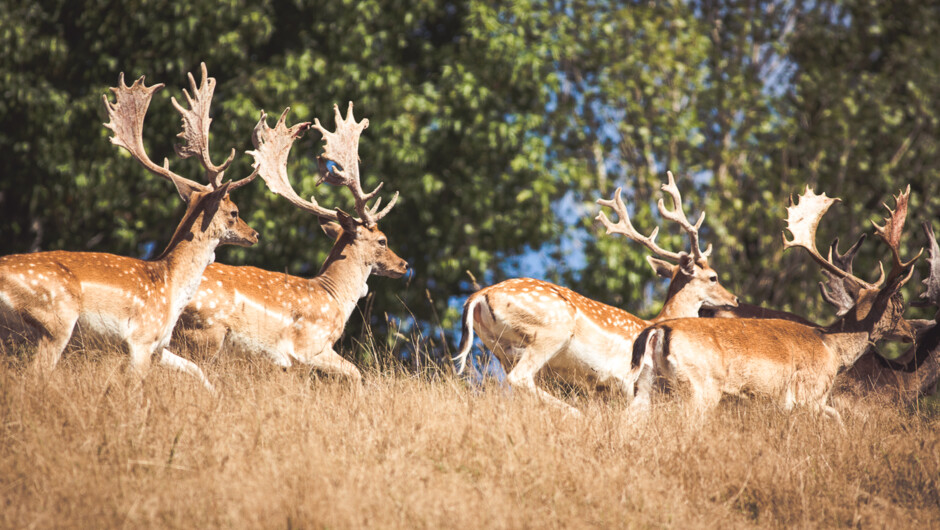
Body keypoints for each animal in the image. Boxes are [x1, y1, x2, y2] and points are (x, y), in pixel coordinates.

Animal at [0, 63, 258, 388]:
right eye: (235, 212)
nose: (255, 234)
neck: (170, 287)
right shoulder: (141, 339)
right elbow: (136, 386)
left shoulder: (159, 345)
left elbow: (197, 370)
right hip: (55, 321)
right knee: (36, 375)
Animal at [173, 101, 408, 378]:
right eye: (383, 240)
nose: (404, 264)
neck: (333, 297)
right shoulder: (307, 348)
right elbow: (356, 372)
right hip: (205, 334)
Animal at [452, 172, 740, 412]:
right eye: (713, 277)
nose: (735, 300)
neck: (659, 321)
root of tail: (479, 296)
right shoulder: (628, 378)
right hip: (551, 329)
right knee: (520, 378)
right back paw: (575, 414)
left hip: (501, 350)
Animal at [628, 186, 920, 420]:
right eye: (899, 305)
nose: (912, 332)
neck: (832, 349)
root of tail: (659, 330)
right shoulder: (809, 396)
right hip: (699, 390)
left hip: (646, 386)